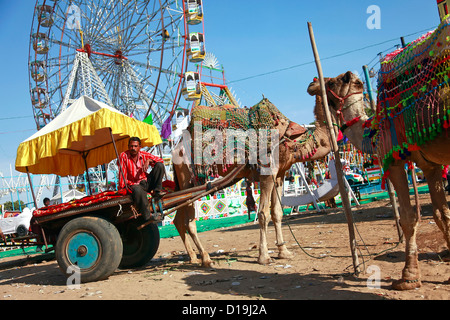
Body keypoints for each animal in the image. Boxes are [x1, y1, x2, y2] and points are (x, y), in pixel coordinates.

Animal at [172, 97, 334, 268]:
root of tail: (175, 148)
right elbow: (263, 213)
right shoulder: (267, 172)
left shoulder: (280, 175)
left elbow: (277, 213)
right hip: (190, 178)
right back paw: (206, 258)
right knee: (189, 222)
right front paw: (264, 257)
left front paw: (284, 252)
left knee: (178, 218)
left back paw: (193, 257)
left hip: (184, 183)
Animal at [308, 25, 450, 290]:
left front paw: (408, 277)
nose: (311, 84)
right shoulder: (430, 164)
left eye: (330, 81)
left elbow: (408, 218)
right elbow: (441, 213)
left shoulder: (394, 161)